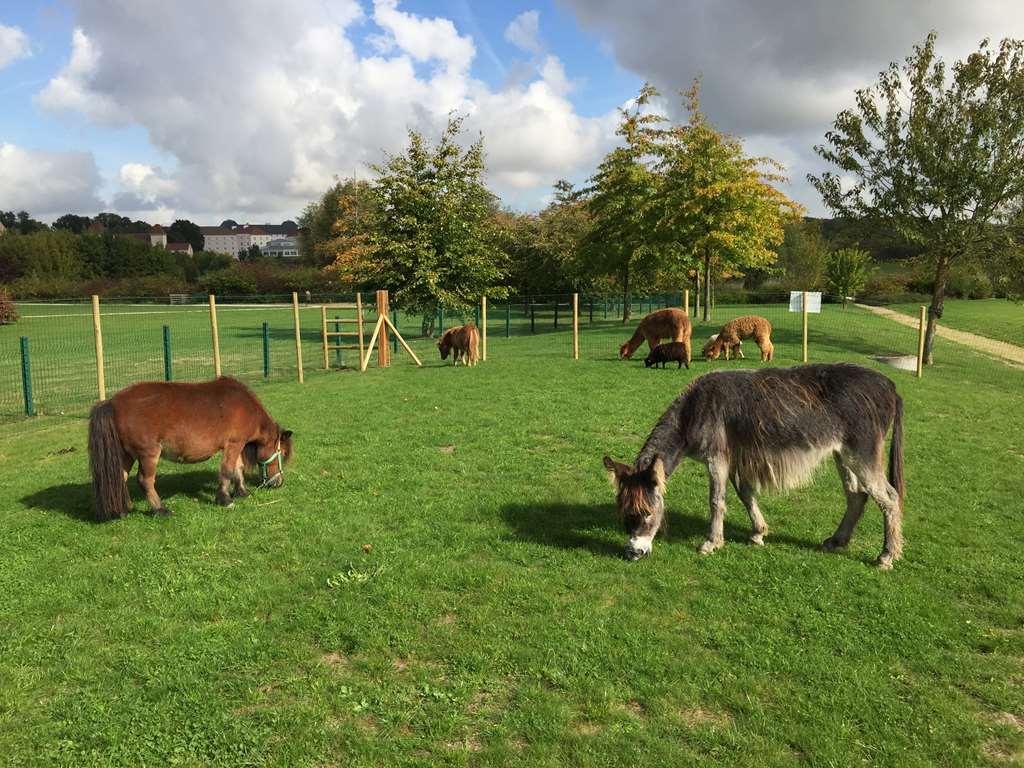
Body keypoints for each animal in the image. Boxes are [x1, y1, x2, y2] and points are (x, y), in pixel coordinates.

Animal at [87, 378, 292, 524]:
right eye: (282, 454)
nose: (278, 482)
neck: (245, 406)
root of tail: (111, 402)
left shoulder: (237, 445)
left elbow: (237, 468)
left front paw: (242, 492)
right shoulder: (234, 444)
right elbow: (227, 470)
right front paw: (225, 499)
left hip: (126, 455)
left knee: (120, 477)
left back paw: (122, 509)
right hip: (148, 454)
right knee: (145, 481)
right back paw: (160, 509)